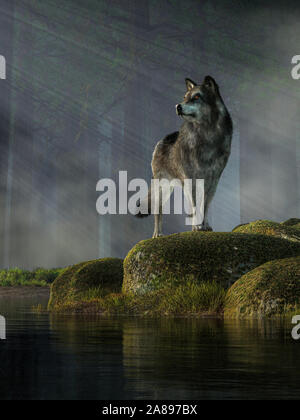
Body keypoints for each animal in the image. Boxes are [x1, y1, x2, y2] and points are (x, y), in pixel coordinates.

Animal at [135, 76, 232, 238]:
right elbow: (195, 206)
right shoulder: (192, 180)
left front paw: (205, 226)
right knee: (157, 211)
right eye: (184, 97)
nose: (178, 106)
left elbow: (205, 205)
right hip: (163, 188)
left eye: (197, 97)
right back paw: (157, 235)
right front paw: (197, 227)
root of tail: (164, 139)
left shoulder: (213, 181)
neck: (207, 136)